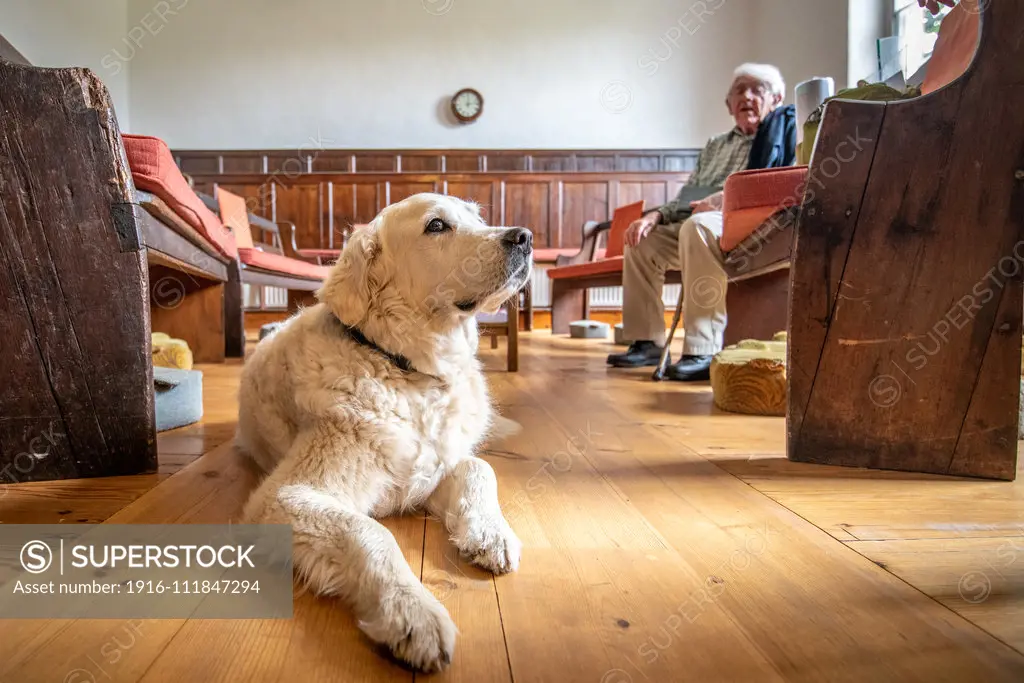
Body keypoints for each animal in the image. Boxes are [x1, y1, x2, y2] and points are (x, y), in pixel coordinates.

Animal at [235, 192, 532, 671]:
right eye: (436, 225)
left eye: (477, 216)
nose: (524, 237)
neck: (404, 368)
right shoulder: (283, 497)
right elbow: (372, 533)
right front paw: (412, 613)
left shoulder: (435, 465)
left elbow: (479, 469)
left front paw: (489, 533)